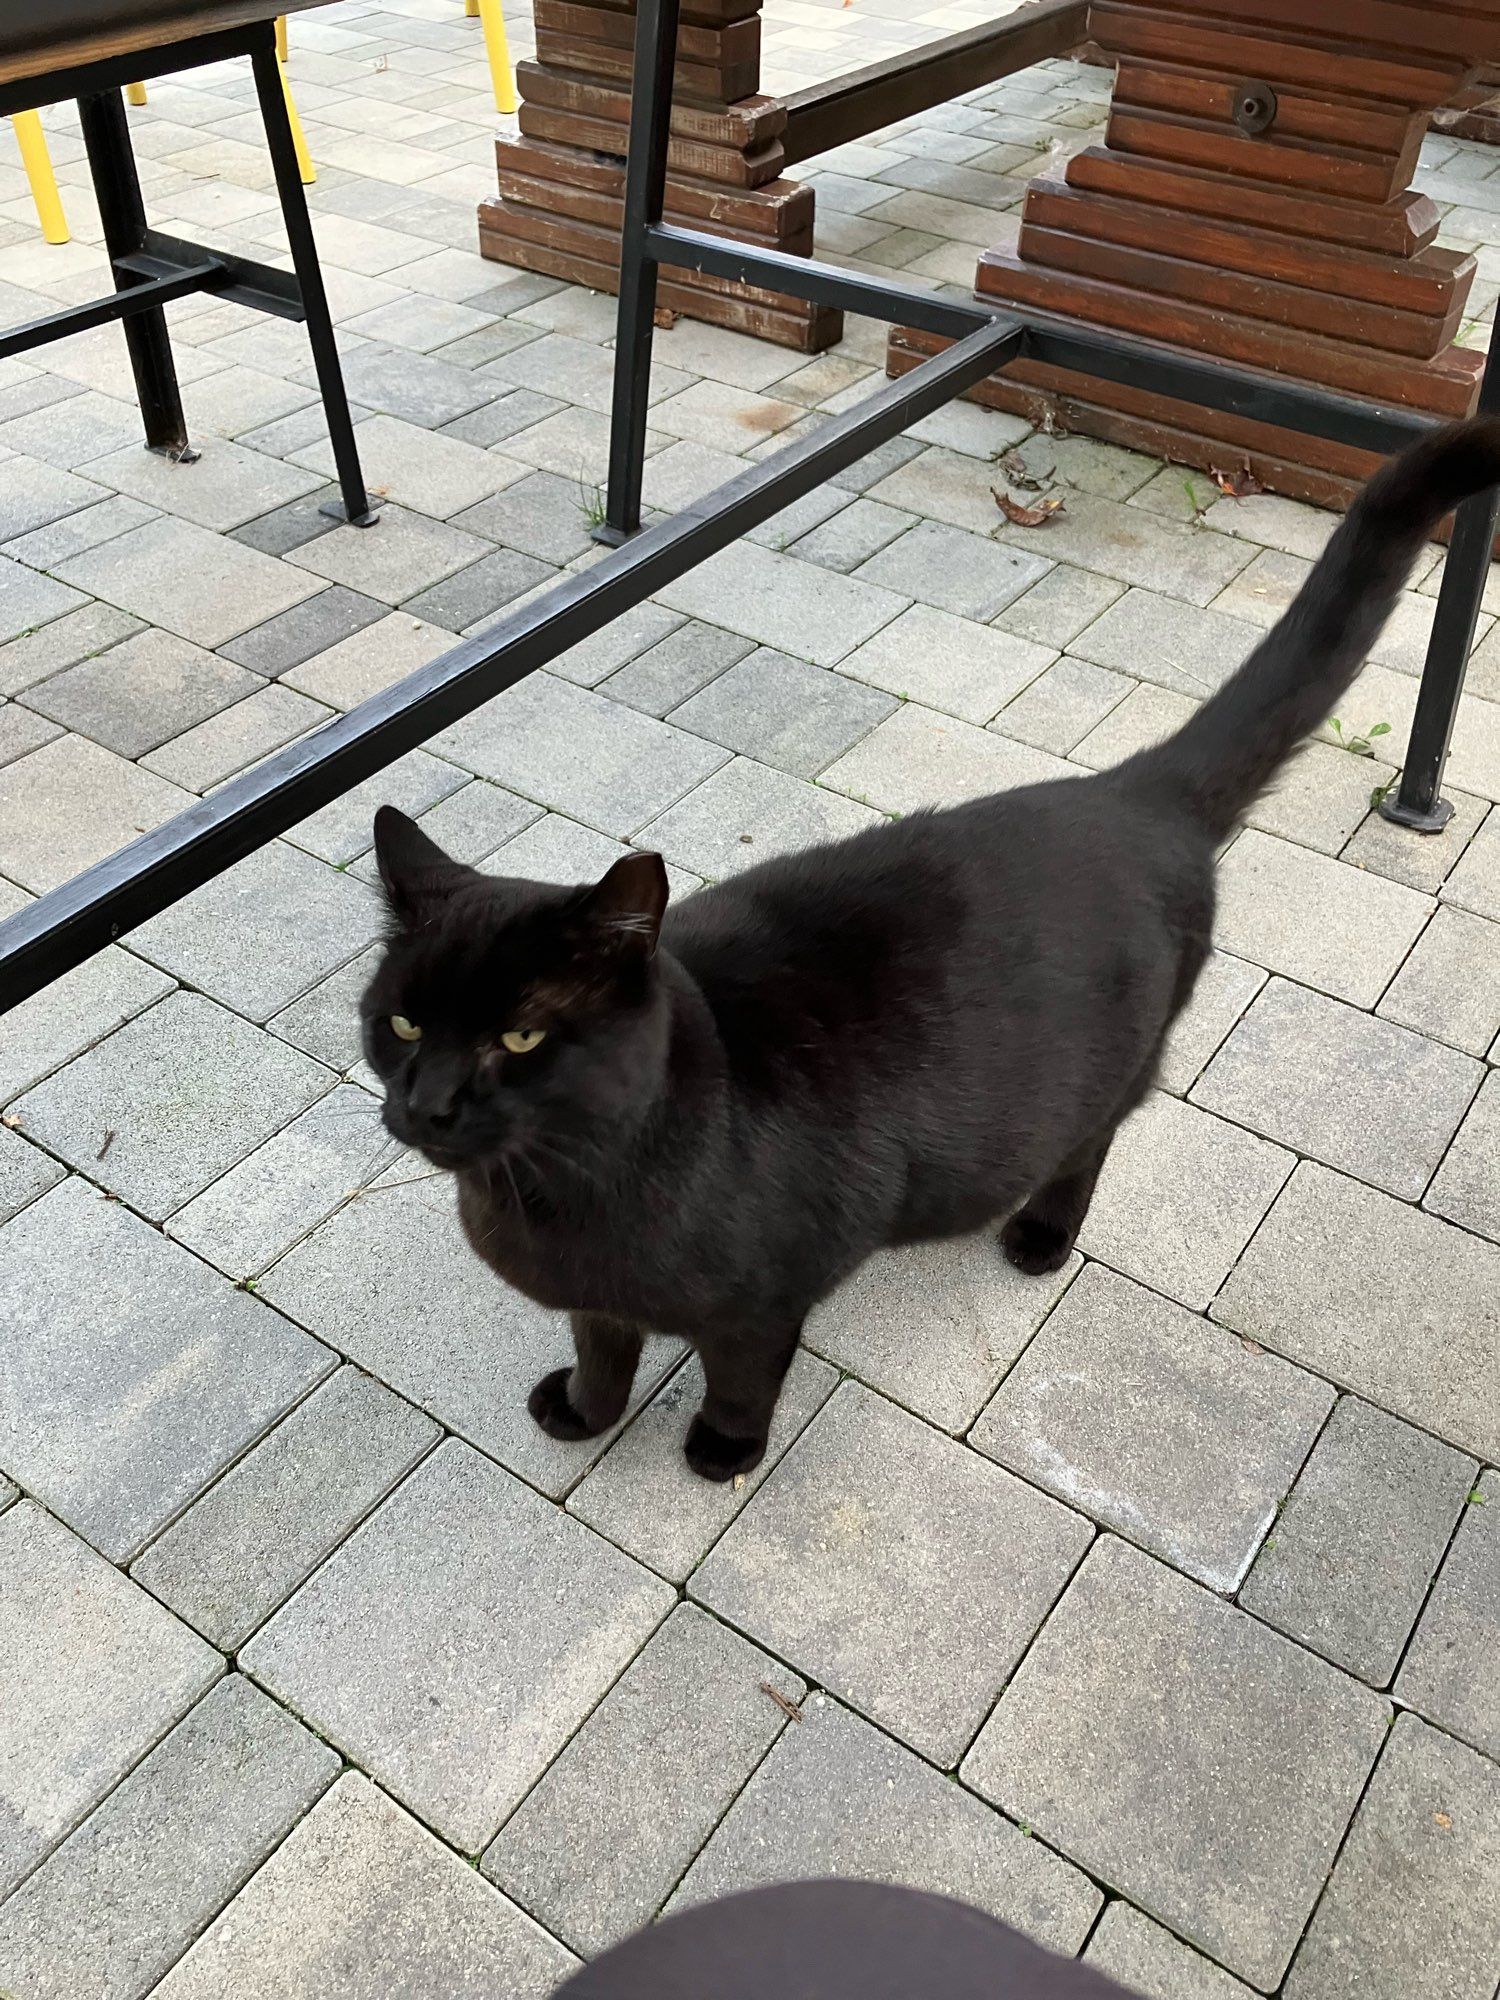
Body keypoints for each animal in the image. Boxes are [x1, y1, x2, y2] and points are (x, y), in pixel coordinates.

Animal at [364, 422, 1500, 1480]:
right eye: (404, 1022)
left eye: (521, 1036)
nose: (428, 1103)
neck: (554, 1190)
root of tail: (1132, 793)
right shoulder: (598, 1302)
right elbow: (603, 1352)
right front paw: (584, 1414)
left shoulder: (762, 1300)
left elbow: (740, 1373)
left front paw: (722, 1452)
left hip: (1108, 1073)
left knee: (1091, 1143)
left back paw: (1041, 1236)